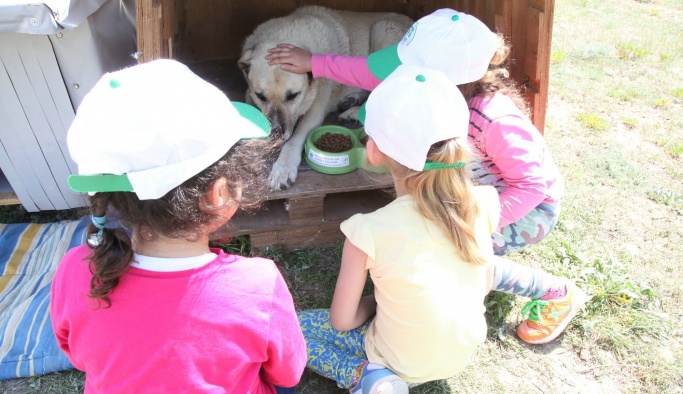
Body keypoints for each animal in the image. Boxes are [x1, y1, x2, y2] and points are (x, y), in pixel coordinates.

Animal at [239, 5, 412, 190]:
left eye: (293, 95)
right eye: (261, 96)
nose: (276, 135)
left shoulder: (315, 112)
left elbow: (294, 140)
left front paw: (283, 167)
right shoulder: (250, 93)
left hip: (382, 29)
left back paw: (354, 112)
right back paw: (351, 101)